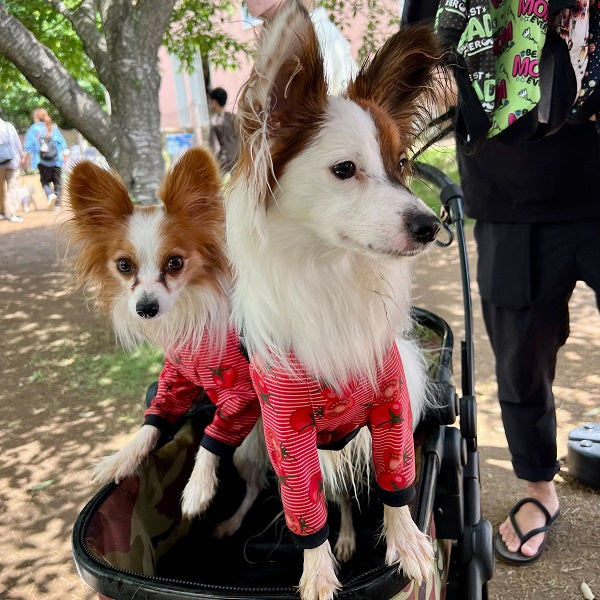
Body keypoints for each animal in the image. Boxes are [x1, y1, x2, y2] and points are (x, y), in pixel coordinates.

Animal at [225, 2, 440, 596]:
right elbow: (306, 512)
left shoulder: (390, 402)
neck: (332, 273)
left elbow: (396, 483)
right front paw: (317, 571)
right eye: (345, 170)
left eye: (402, 165)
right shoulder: (288, 428)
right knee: (318, 494)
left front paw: (410, 543)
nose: (431, 225)